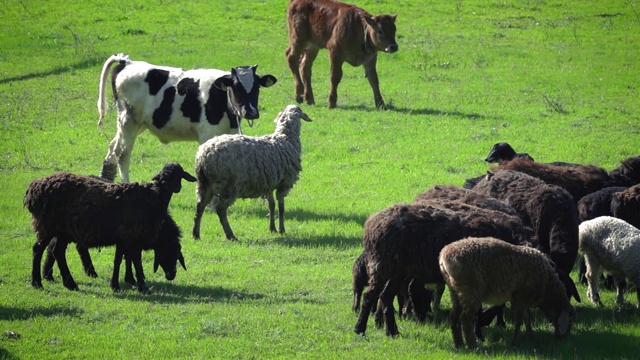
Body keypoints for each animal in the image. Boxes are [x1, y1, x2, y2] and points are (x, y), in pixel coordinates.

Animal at [24, 163, 195, 296]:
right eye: (171, 253)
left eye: (178, 175)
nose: (172, 275)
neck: (154, 198)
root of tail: (33, 190)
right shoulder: (134, 237)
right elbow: (136, 262)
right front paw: (142, 286)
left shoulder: (123, 238)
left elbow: (119, 260)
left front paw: (117, 285)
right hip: (48, 225)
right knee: (38, 249)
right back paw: (37, 282)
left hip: (62, 231)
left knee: (57, 251)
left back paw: (69, 284)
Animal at [96, 52, 276, 183]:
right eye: (236, 88)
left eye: (257, 87)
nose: (251, 112)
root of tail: (126, 62)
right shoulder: (206, 135)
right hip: (129, 120)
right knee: (122, 153)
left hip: (138, 123)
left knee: (113, 147)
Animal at [191, 102, 312, 240]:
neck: (286, 137)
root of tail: (203, 156)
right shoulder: (284, 183)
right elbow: (281, 207)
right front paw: (282, 229)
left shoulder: (269, 183)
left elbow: (271, 205)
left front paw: (272, 228)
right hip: (231, 185)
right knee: (220, 209)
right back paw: (230, 235)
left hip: (204, 184)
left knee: (200, 206)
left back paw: (196, 234)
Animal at [352, 202, 536, 338]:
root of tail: (371, 223)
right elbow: (484, 308)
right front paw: (478, 332)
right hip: (383, 266)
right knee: (370, 296)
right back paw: (360, 328)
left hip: (398, 271)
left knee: (385, 297)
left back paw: (392, 331)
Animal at [438, 238, 576, 348]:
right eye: (569, 321)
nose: (562, 339)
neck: (547, 287)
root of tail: (444, 257)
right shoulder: (520, 297)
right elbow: (519, 320)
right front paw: (514, 342)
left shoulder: (523, 299)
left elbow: (527, 318)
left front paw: (530, 337)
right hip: (470, 291)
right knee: (466, 317)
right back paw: (472, 345)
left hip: (455, 291)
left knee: (454, 316)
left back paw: (459, 344)